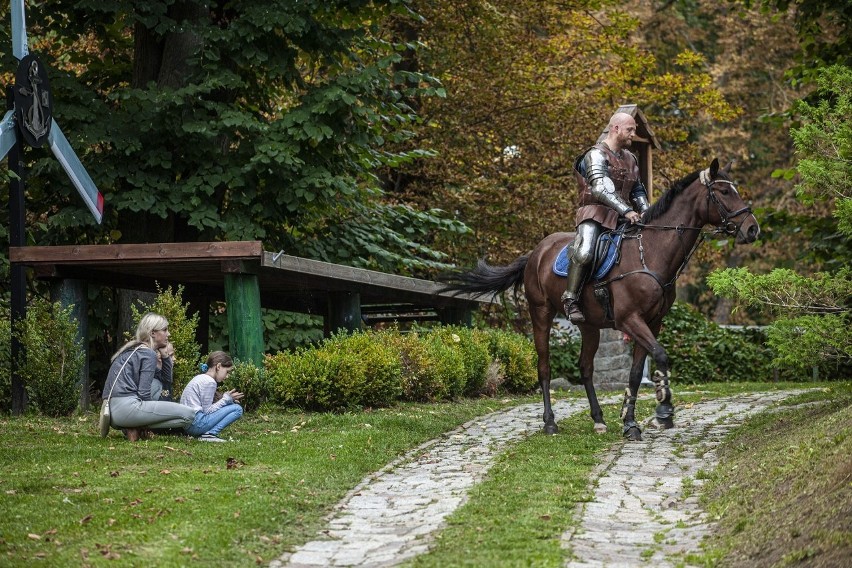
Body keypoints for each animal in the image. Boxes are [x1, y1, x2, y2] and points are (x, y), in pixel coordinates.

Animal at [446, 158, 760, 442]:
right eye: (724, 191)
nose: (752, 229)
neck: (651, 252)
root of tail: (536, 253)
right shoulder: (630, 320)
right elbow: (660, 355)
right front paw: (664, 410)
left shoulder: (652, 323)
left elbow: (635, 372)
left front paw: (629, 422)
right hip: (541, 315)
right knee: (544, 366)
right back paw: (550, 423)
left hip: (589, 326)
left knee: (585, 368)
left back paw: (598, 420)